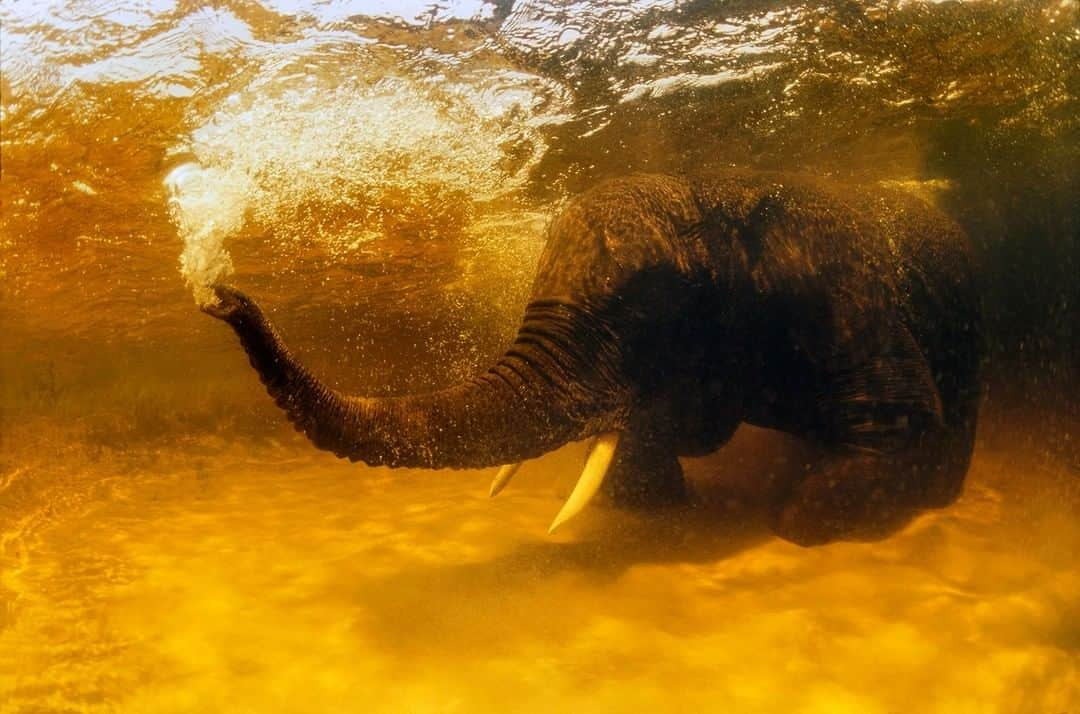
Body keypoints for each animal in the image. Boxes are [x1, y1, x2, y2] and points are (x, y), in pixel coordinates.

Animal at [204, 169, 989, 542]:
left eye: (643, 305)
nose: (222, 297)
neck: (712, 187)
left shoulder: (838, 300)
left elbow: (897, 422)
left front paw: (791, 518)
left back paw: (936, 499)